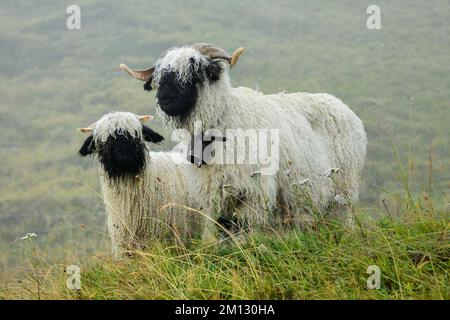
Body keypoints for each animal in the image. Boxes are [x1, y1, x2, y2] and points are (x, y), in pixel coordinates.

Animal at [120, 43, 370, 228]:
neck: (226, 120)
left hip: (343, 192)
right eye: (160, 77)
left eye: (196, 72)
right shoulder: (214, 195)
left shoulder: (254, 193)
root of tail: (342, 106)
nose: (165, 100)